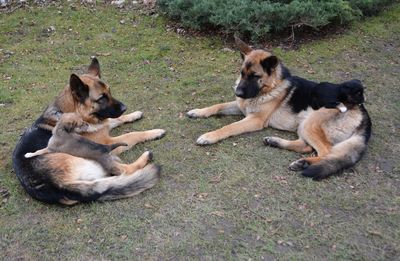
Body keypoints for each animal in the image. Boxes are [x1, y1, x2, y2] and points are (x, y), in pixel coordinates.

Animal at [12, 58, 166, 204]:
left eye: (110, 92)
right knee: (123, 170)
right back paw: (146, 156)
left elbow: (116, 119)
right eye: (101, 98)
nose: (124, 108)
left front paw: (134, 114)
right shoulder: (107, 140)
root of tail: (59, 186)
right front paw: (155, 132)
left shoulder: (103, 124)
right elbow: (132, 134)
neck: (73, 111)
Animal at [188, 37, 372, 179]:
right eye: (242, 73)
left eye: (255, 76)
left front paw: (209, 136)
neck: (269, 88)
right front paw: (198, 112)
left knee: (326, 152)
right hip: (303, 126)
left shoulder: (255, 120)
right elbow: (217, 106)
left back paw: (305, 163)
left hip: (309, 123)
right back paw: (277, 144)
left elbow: (229, 127)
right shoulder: (240, 107)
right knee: (306, 146)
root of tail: (363, 111)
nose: (238, 92)